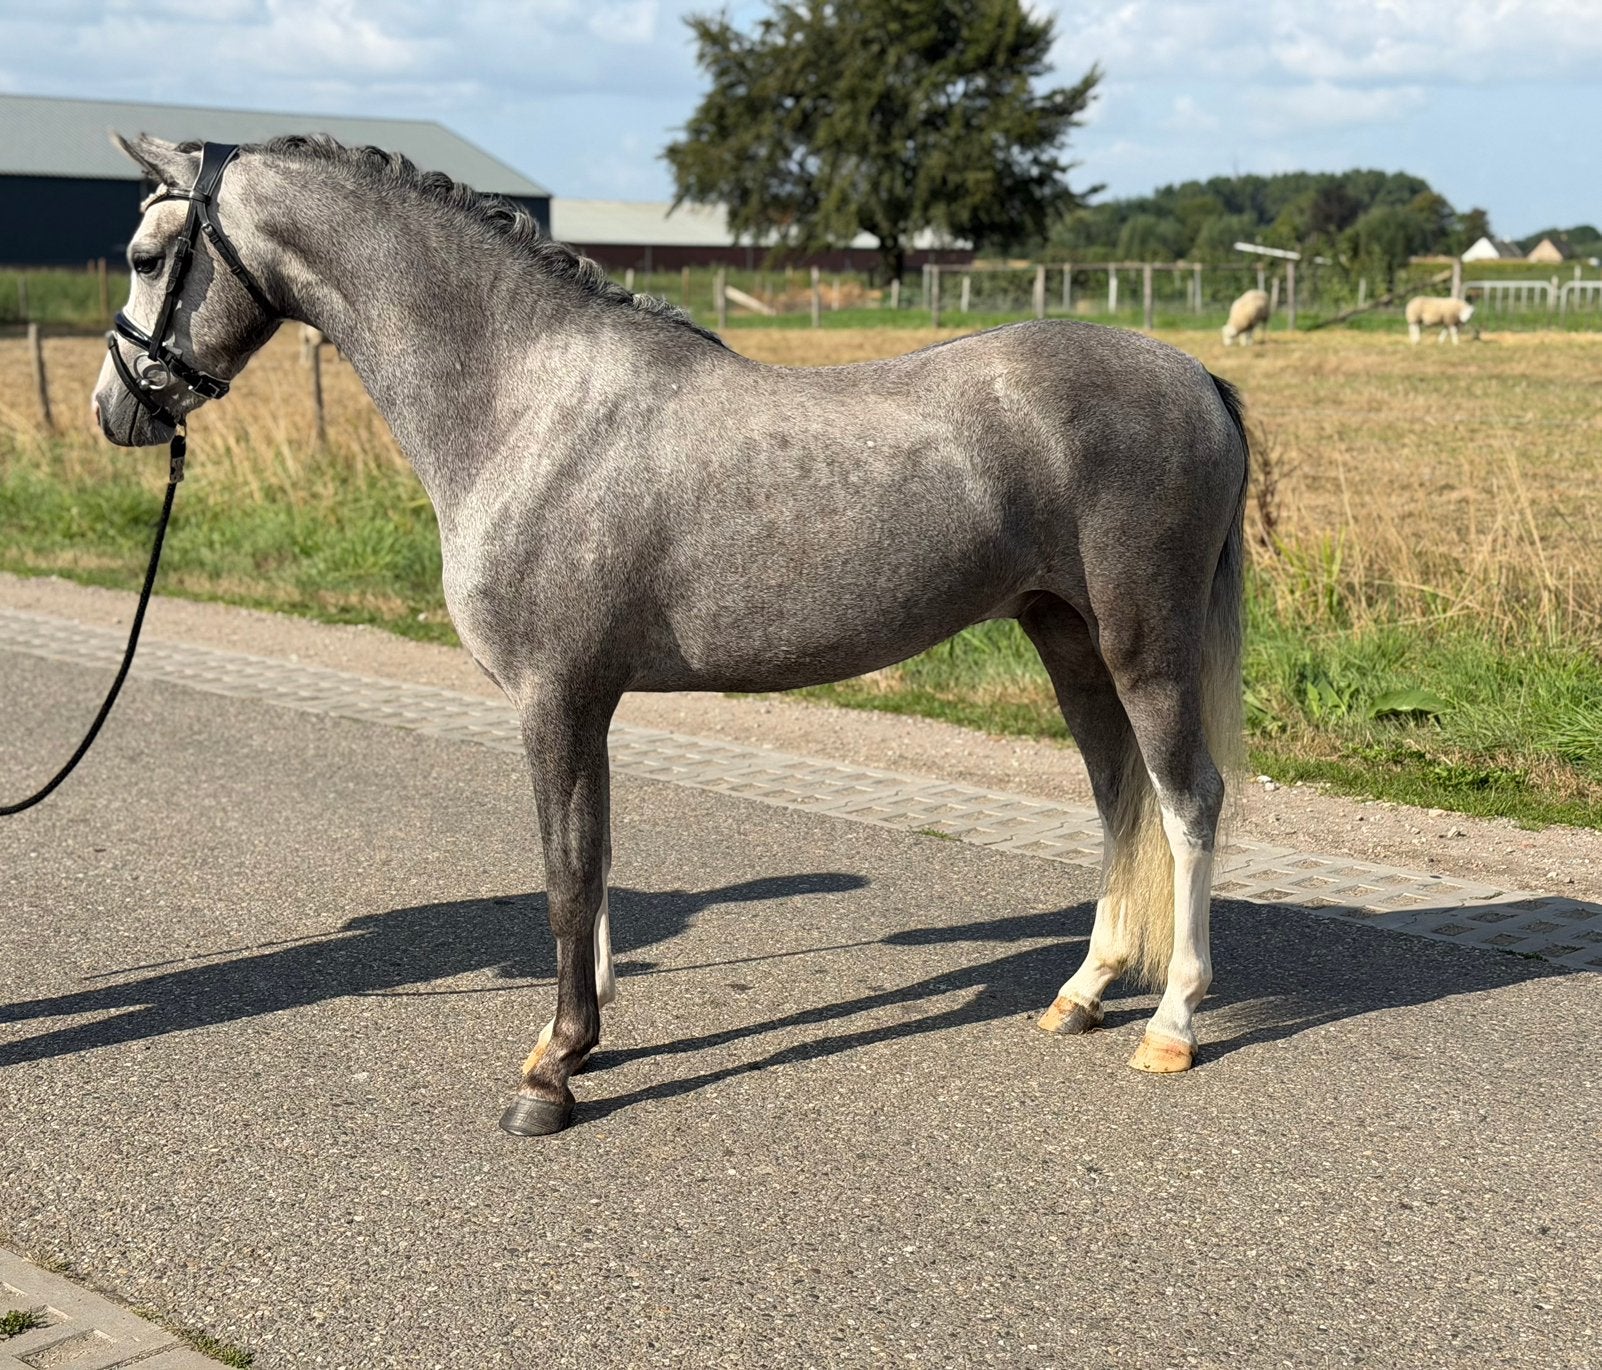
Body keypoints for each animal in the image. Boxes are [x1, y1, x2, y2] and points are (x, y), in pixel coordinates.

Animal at [93, 134, 1248, 1137]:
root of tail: (1196, 377)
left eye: (149, 257)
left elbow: (567, 875)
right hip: (1067, 639)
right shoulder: (588, 700)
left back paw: (1171, 1025)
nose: (116, 408)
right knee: (1118, 797)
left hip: (1143, 643)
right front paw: (577, 1040)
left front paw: (553, 1071)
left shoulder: (553, 697)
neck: (526, 402)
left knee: (1187, 802)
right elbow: (595, 860)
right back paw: (1082, 992)